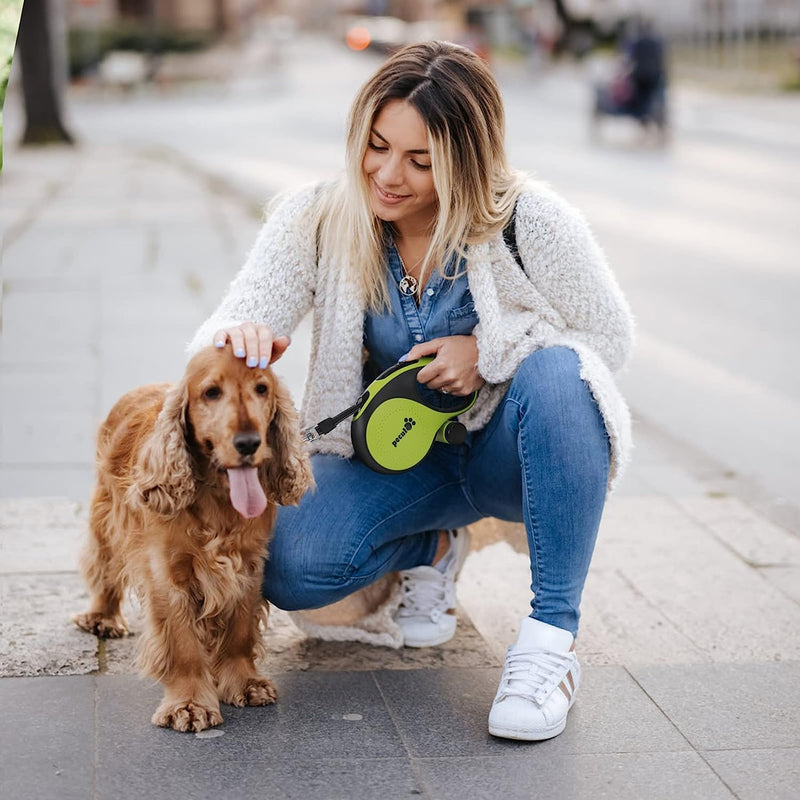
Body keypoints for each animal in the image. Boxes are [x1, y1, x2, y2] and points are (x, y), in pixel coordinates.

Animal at [73, 344, 314, 732]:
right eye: (211, 392)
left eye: (262, 388)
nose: (249, 442)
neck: (219, 498)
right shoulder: (168, 575)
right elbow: (183, 643)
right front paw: (187, 704)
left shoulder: (248, 566)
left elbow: (239, 631)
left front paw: (243, 682)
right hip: (106, 517)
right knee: (104, 567)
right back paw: (102, 617)